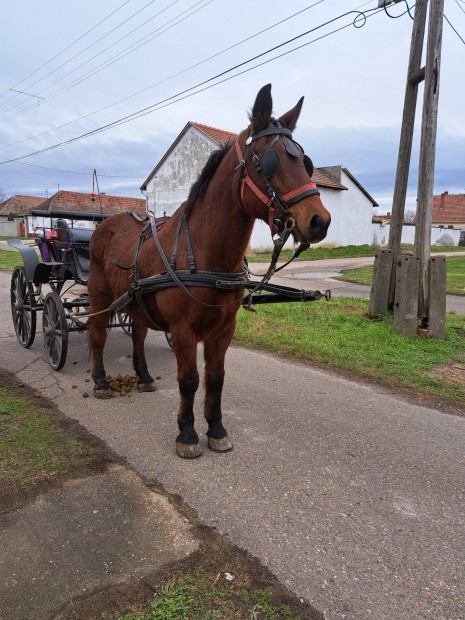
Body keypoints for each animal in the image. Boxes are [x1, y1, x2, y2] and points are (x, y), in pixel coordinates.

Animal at [87, 85, 330, 458]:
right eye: (268, 160)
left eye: (305, 162)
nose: (320, 221)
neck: (204, 255)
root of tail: (104, 224)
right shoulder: (183, 330)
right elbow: (189, 380)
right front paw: (187, 433)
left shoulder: (224, 329)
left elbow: (216, 377)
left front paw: (216, 429)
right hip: (100, 294)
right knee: (97, 333)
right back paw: (100, 380)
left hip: (136, 299)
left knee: (139, 333)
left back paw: (143, 377)